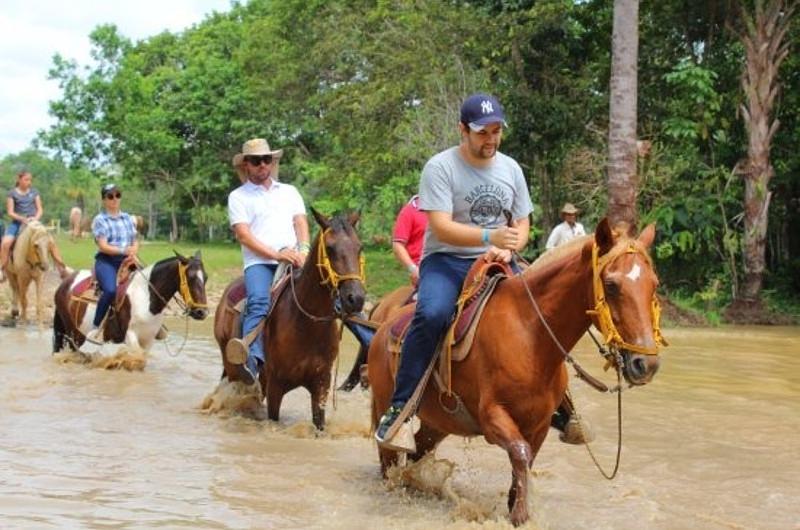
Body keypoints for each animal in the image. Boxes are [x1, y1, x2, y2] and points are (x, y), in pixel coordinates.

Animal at [52, 251, 209, 352]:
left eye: (206, 277)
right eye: (191, 277)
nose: (202, 312)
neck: (145, 295)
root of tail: (65, 282)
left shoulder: (148, 339)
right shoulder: (131, 336)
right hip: (73, 333)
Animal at [209, 206, 366, 428]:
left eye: (359, 247)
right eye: (330, 248)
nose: (356, 298)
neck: (307, 323)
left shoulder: (321, 384)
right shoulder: (275, 385)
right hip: (234, 369)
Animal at [368, 219, 664, 524]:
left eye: (654, 284)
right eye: (612, 285)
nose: (646, 364)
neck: (530, 335)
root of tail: (381, 327)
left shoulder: (540, 423)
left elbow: (525, 462)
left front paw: (515, 505)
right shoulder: (492, 416)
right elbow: (520, 453)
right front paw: (521, 515)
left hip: (437, 423)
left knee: (419, 449)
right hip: (387, 406)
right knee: (388, 457)